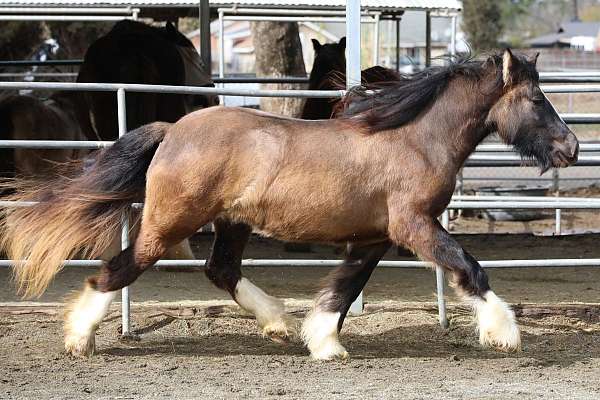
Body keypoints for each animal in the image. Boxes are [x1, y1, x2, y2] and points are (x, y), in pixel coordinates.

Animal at [2, 50, 580, 360]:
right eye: (536, 99)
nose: (571, 148)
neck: (413, 139)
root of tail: (172, 131)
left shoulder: (375, 237)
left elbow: (344, 290)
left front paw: (324, 343)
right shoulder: (415, 226)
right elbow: (470, 269)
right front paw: (504, 334)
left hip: (231, 223)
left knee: (221, 269)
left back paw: (277, 322)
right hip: (168, 224)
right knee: (117, 269)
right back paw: (79, 339)